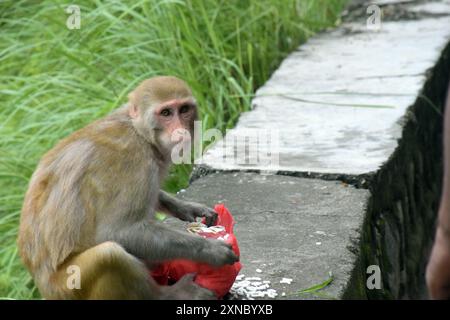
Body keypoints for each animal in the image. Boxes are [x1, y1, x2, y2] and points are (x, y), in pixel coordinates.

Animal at [17, 75, 239, 300]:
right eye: (166, 113)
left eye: (184, 109)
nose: (180, 130)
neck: (140, 133)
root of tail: (45, 287)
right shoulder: (134, 161)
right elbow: (118, 232)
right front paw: (210, 250)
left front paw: (187, 208)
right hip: (68, 287)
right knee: (109, 254)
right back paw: (167, 294)